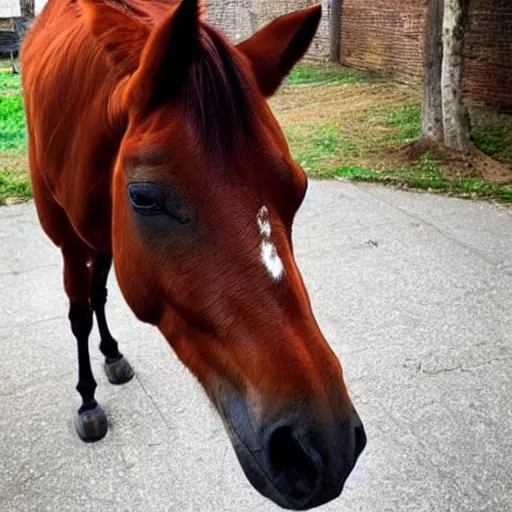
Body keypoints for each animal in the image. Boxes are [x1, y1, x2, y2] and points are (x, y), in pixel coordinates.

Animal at [19, 0, 364, 506]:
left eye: (299, 190)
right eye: (143, 197)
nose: (324, 447)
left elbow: (98, 294)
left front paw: (109, 356)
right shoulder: (67, 240)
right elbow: (79, 315)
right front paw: (87, 399)